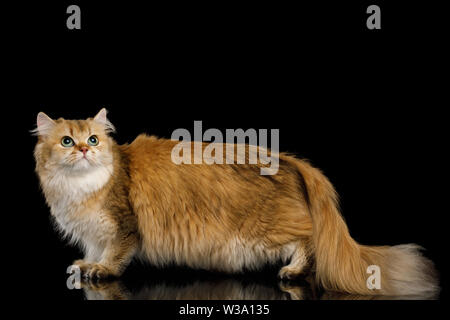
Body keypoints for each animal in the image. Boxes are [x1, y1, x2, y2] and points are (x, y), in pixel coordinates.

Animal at [32, 109, 440, 296]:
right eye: (67, 141)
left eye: (94, 140)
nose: (84, 150)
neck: (78, 189)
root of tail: (290, 160)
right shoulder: (93, 234)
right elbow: (94, 250)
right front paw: (87, 265)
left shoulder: (124, 227)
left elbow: (115, 256)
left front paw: (102, 270)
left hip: (265, 232)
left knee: (309, 242)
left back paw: (293, 272)